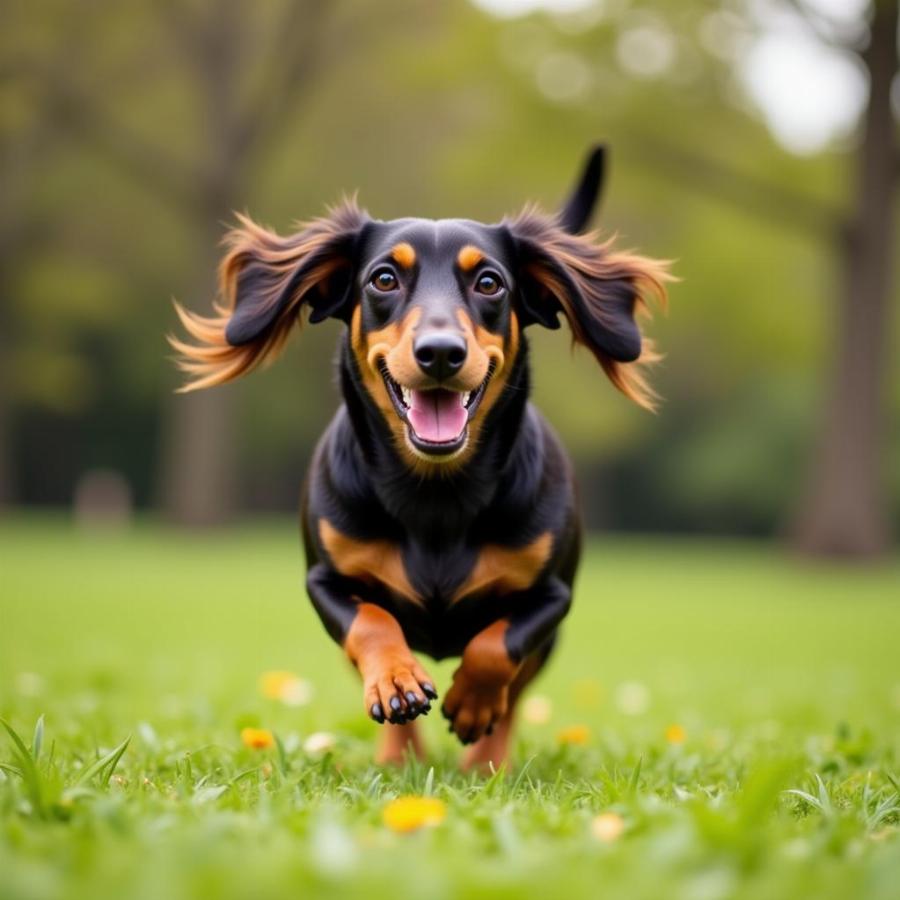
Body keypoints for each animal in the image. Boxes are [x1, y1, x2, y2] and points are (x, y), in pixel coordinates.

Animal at [172, 149, 672, 768]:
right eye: (384, 278)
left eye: (489, 282)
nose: (439, 353)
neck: (436, 494)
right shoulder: (325, 581)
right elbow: (372, 623)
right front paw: (397, 682)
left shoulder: (552, 598)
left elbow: (497, 648)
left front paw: (474, 704)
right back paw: (401, 753)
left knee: (517, 692)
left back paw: (487, 761)